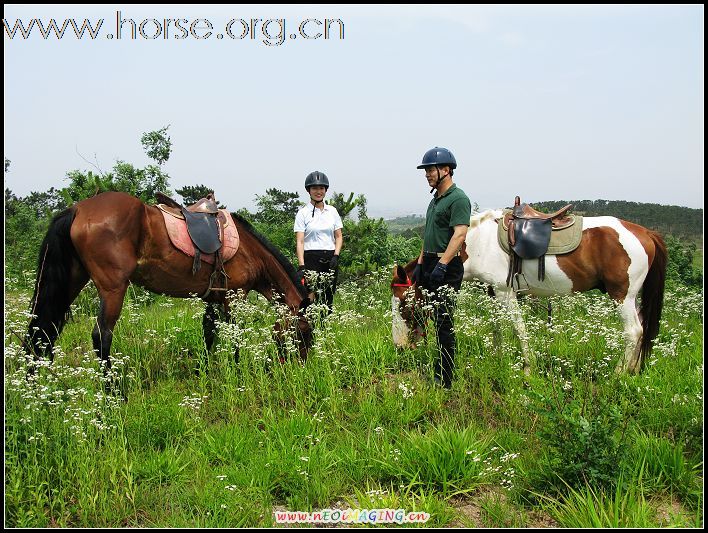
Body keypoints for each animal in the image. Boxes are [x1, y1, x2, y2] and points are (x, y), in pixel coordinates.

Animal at [23, 191, 312, 382]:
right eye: (304, 331)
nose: (302, 364)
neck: (250, 251)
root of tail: (78, 209)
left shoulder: (212, 298)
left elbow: (209, 333)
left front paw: (204, 371)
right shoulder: (234, 297)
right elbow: (234, 336)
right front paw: (238, 371)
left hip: (72, 281)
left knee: (43, 331)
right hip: (113, 288)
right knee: (101, 336)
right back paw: (113, 393)